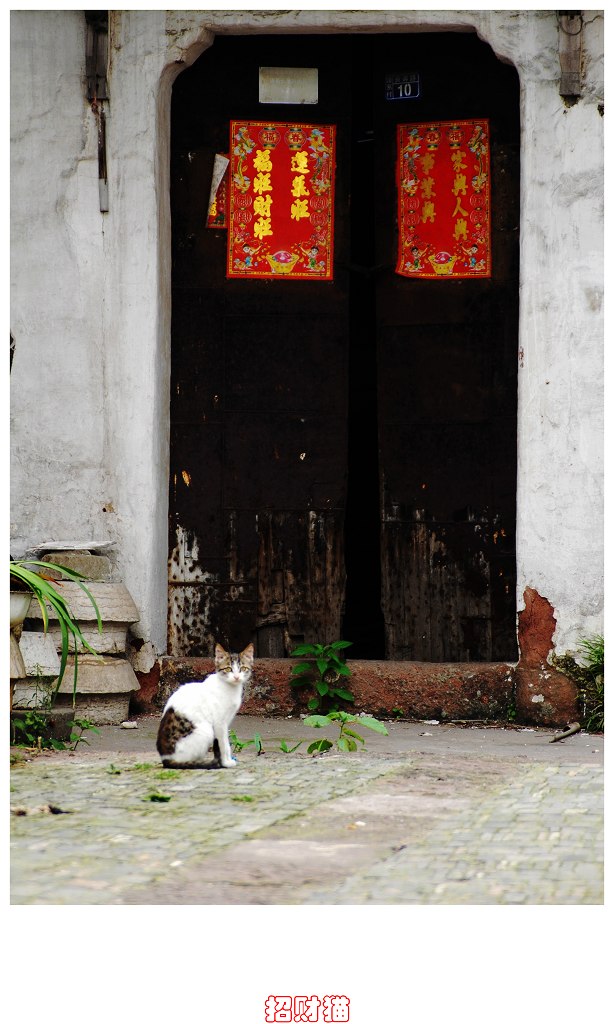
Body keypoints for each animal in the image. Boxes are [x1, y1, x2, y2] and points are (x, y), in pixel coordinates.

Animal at [158, 638, 256, 770]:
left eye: (243, 669)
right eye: (228, 669)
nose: (236, 677)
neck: (230, 688)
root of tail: (165, 759)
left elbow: (225, 743)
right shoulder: (220, 723)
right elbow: (224, 744)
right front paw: (226, 762)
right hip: (206, 731)